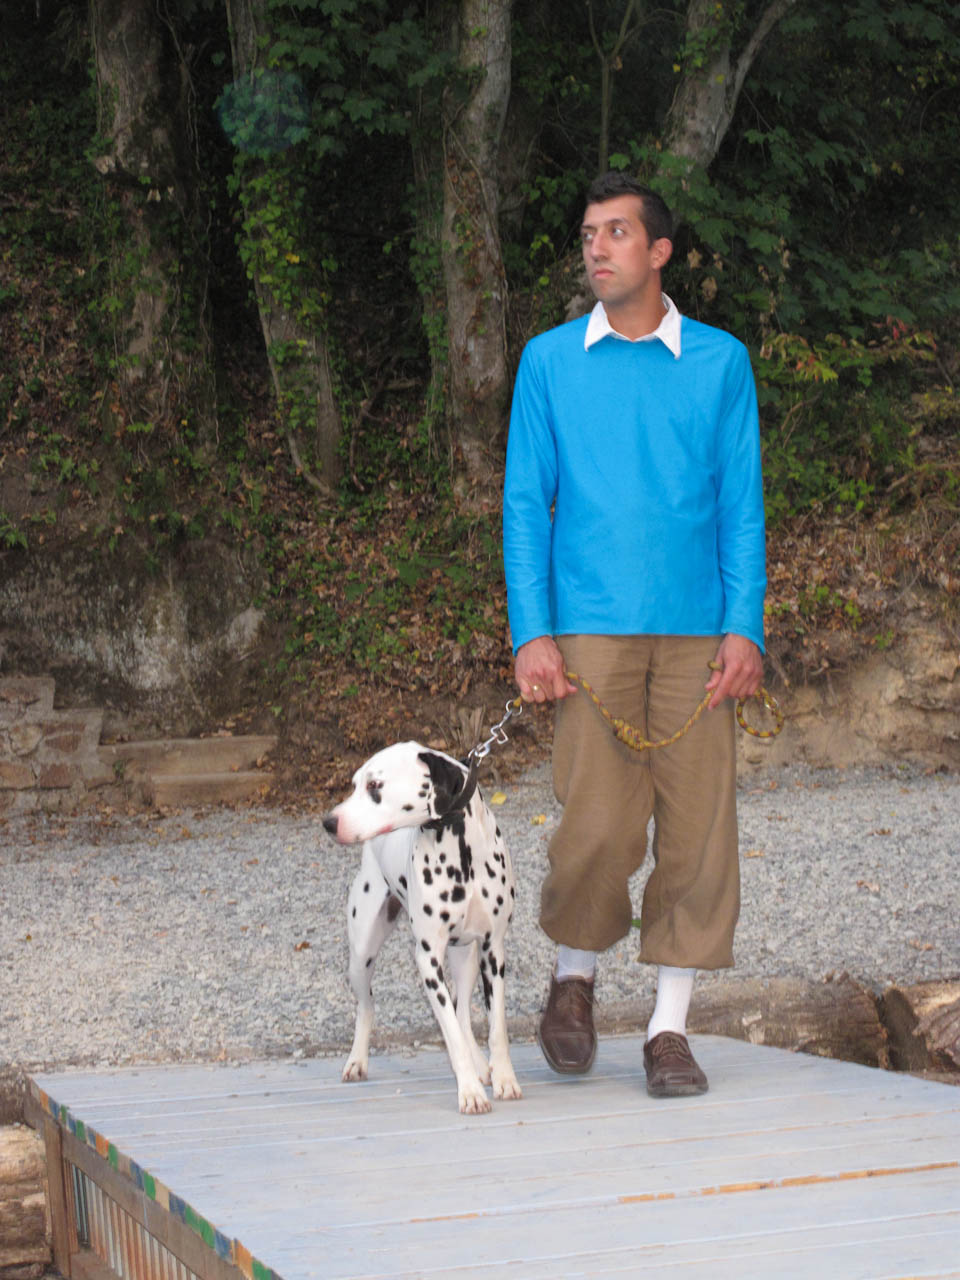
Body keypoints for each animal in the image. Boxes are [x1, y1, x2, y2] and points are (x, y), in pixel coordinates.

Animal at [323, 742, 522, 1114]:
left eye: (375, 786)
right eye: (354, 785)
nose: (328, 822)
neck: (461, 853)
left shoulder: (493, 951)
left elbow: (496, 1027)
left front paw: (503, 1077)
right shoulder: (428, 960)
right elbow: (451, 1037)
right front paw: (470, 1092)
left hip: (465, 958)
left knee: (461, 1011)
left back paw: (481, 1064)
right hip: (361, 957)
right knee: (367, 1007)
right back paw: (357, 1060)